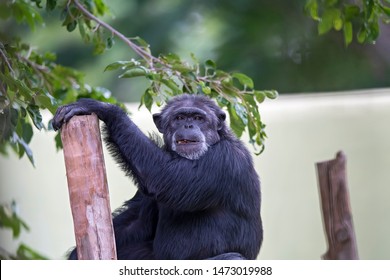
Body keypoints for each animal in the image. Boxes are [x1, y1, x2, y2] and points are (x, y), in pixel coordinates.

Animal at [51, 94, 264, 260]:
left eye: (198, 117)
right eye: (179, 117)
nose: (188, 125)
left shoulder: (223, 161)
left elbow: (167, 179)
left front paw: (102, 108)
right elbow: (136, 223)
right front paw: (75, 255)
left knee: (233, 257)